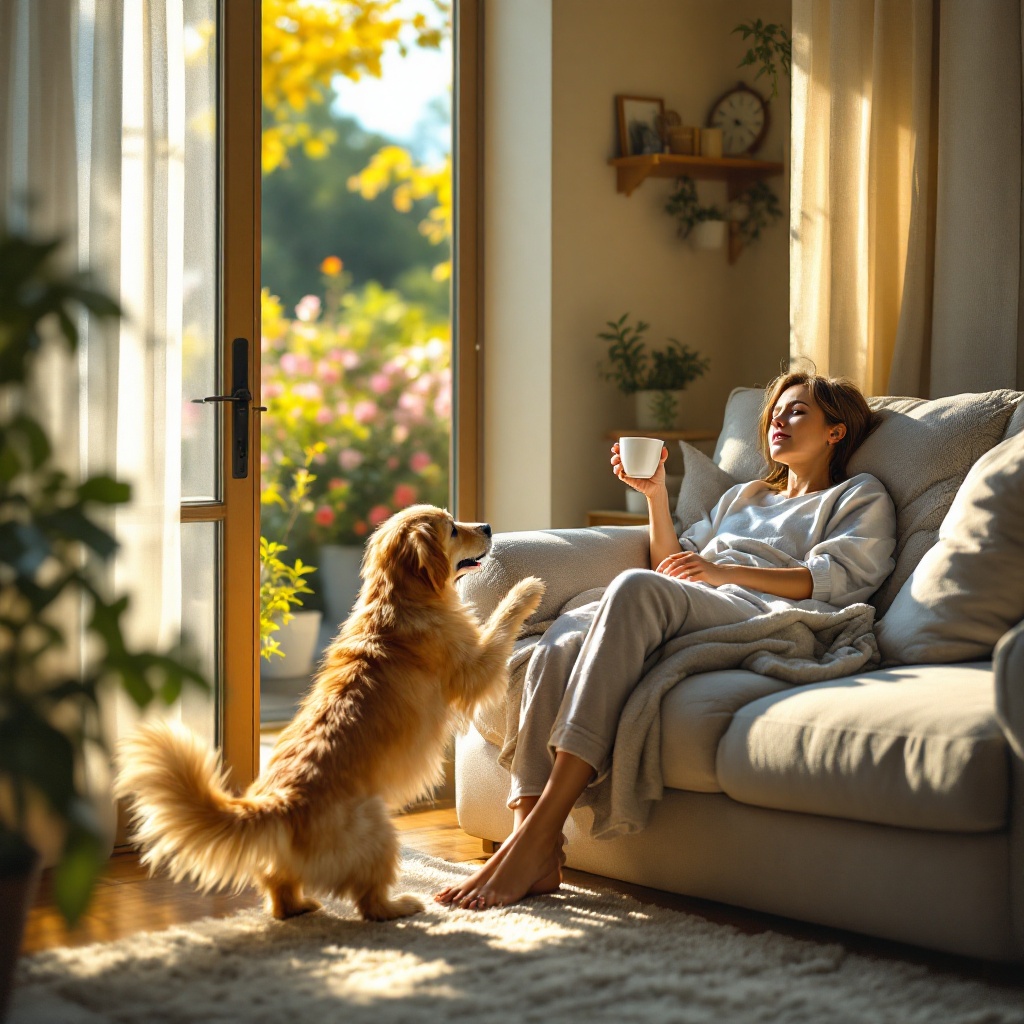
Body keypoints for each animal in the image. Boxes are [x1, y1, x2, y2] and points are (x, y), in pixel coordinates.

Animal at [114, 507, 544, 925]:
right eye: (452, 528)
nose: (487, 526)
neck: (398, 600)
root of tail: (283, 803)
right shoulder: (476, 668)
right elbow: (500, 624)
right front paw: (526, 589)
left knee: (279, 888)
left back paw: (301, 906)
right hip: (379, 828)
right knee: (369, 903)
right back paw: (401, 906)